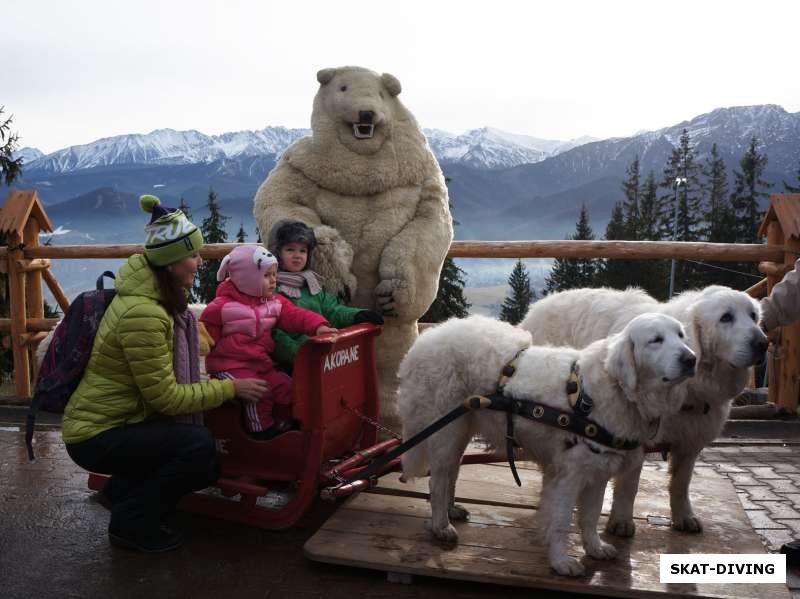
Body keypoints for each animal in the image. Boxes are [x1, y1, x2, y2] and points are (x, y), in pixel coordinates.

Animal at [398, 314, 692, 576]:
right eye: (655, 340)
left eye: (681, 335)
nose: (691, 359)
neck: (612, 390)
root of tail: (427, 338)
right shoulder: (569, 476)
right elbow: (561, 521)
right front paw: (561, 562)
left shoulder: (597, 474)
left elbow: (590, 516)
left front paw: (594, 548)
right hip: (445, 431)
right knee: (438, 481)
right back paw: (441, 525)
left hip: (461, 429)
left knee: (451, 473)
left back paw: (451, 511)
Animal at [520, 286, 768, 536]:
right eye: (726, 317)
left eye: (753, 316)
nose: (762, 343)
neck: (691, 389)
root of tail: (543, 301)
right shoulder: (633, 433)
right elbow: (630, 484)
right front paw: (621, 521)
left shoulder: (691, 441)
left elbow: (682, 482)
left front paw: (684, 516)